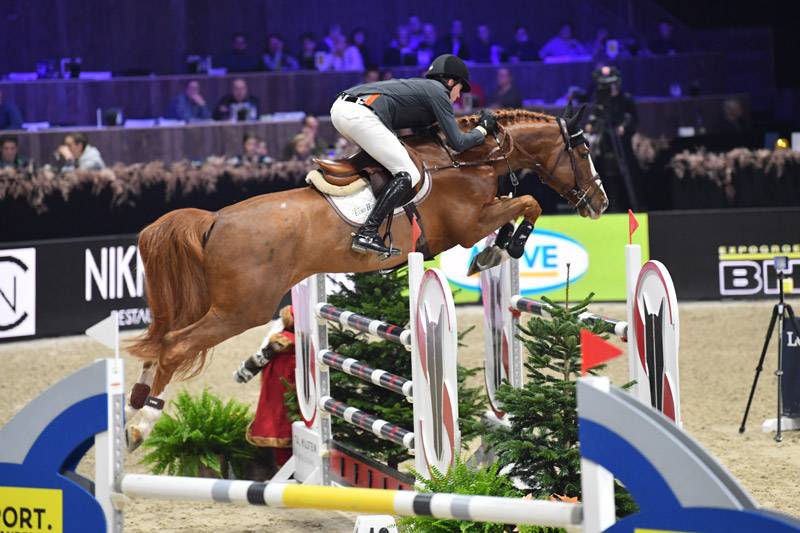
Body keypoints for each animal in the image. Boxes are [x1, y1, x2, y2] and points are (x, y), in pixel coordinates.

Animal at [123, 103, 609, 448]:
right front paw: (503, 248)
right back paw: (142, 423)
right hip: (240, 309)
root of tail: (214, 220)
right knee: (174, 344)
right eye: (584, 151)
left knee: (163, 339)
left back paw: (136, 399)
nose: (601, 203)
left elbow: (521, 205)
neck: (466, 160)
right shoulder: (467, 225)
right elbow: (528, 203)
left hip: (222, 305)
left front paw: (494, 252)